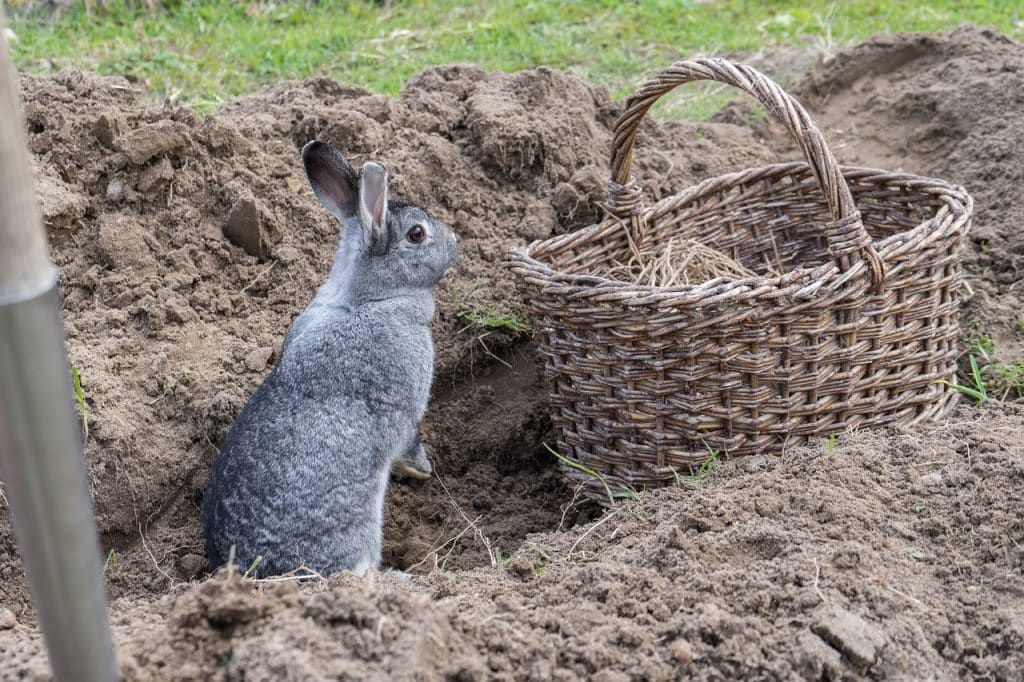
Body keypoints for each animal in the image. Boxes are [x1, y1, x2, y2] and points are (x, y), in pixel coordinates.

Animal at [201, 140, 458, 577]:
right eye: (417, 233)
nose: (456, 242)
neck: (370, 298)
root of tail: (256, 574)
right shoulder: (407, 408)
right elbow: (411, 441)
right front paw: (423, 471)